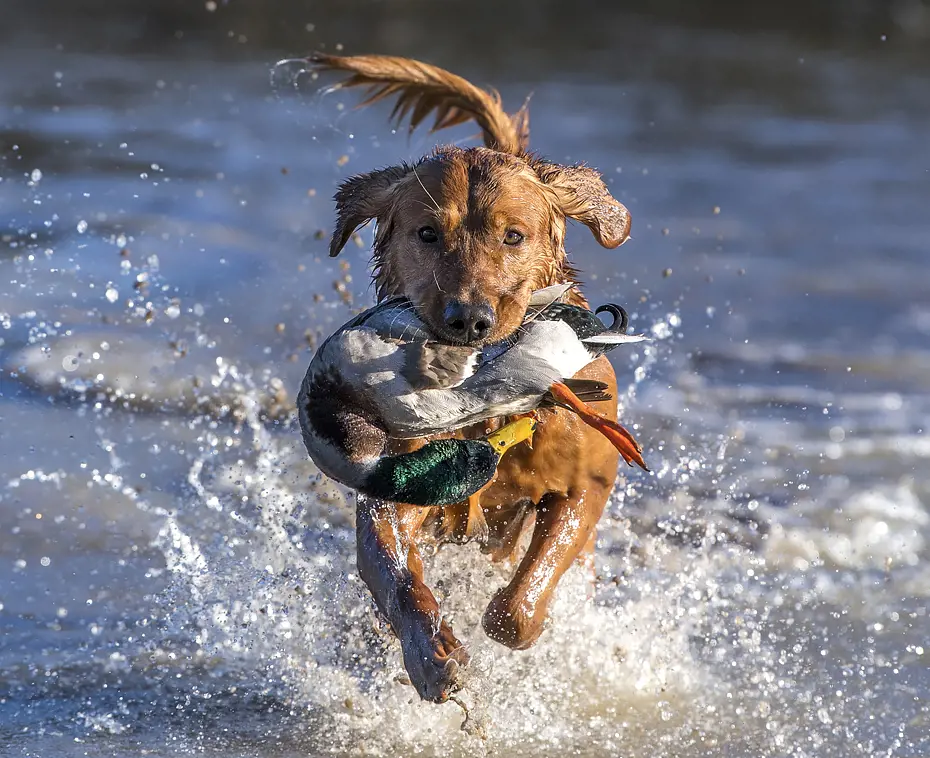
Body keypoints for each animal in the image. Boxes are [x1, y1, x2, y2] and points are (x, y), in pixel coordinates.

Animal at [310, 55, 632, 708]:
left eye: (513, 235)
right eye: (428, 233)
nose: (469, 321)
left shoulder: (588, 483)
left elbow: (518, 604)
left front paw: (504, 622)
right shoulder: (394, 488)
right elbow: (396, 577)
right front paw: (432, 657)